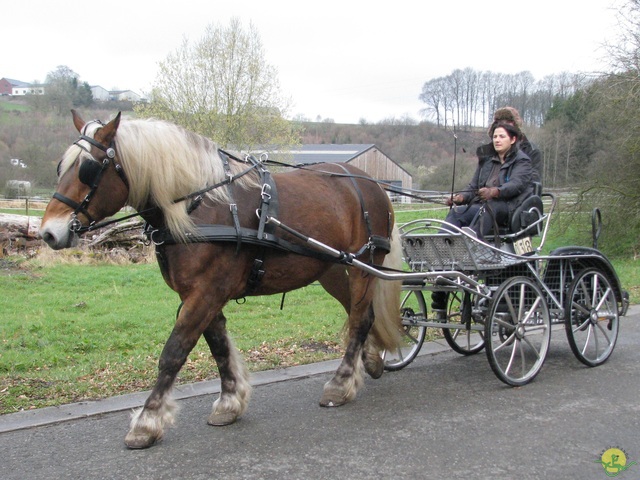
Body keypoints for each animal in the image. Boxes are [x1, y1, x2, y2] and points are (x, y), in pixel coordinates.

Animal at [38, 110, 400, 448]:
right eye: (60, 167)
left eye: (88, 169)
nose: (49, 232)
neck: (197, 206)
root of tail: (371, 183)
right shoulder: (199, 294)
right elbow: (218, 347)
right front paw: (229, 402)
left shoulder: (206, 292)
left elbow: (174, 352)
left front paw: (147, 420)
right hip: (333, 270)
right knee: (361, 314)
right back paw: (368, 362)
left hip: (363, 265)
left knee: (358, 320)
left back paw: (341, 383)